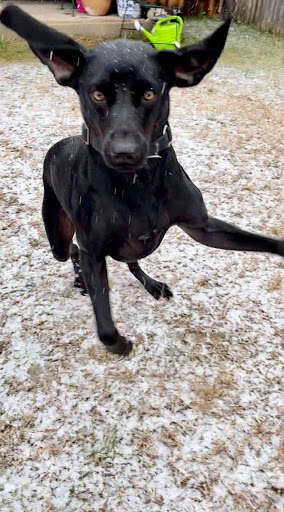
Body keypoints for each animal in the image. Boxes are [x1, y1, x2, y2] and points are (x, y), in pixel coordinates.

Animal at [1, 6, 282, 354]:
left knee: (131, 261)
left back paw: (151, 284)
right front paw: (117, 342)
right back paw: (82, 280)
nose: (125, 152)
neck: (136, 183)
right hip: (58, 236)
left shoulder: (202, 227)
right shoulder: (94, 250)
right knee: (73, 252)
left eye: (150, 93)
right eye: (97, 94)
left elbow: (257, 241)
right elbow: (105, 323)